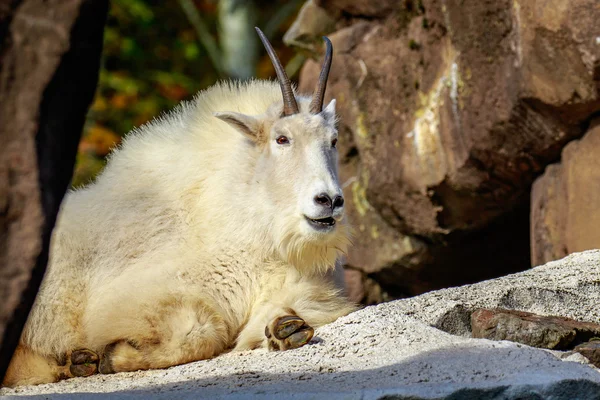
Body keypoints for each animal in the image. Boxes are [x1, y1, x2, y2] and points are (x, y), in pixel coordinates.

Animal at [2, 28, 356, 388]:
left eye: (333, 140)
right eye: (282, 138)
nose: (329, 201)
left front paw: (285, 330)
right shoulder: (136, 297)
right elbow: (198, 335)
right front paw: (113, 355)